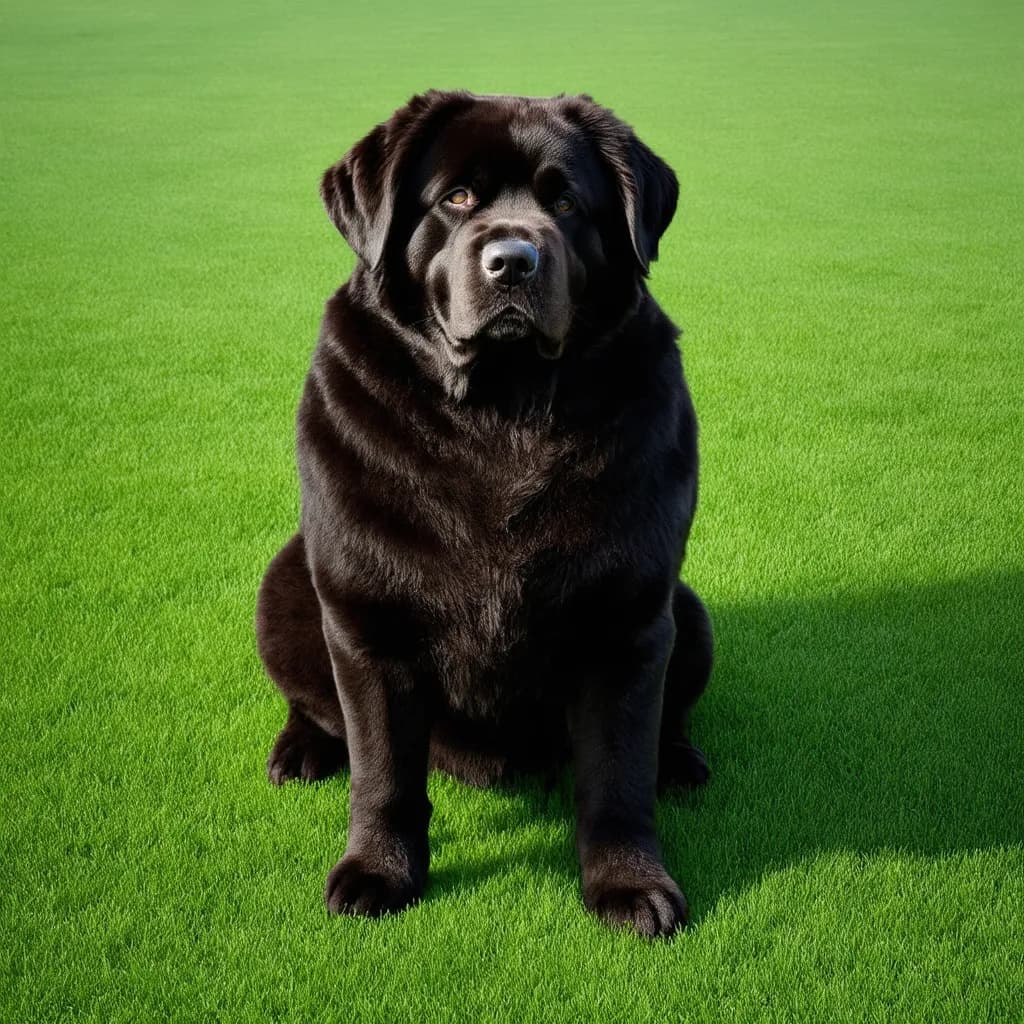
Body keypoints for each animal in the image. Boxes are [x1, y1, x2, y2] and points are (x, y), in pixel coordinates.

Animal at [253, 92, 712, 937]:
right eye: (458, 198)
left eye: (565, 202)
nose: (513, 259)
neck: (502, 413)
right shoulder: (370, 621)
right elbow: (383, 772)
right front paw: (377, 872)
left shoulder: (629, 618)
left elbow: (618, 775)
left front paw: (631, 886)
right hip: (287, 582)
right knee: (318, 707)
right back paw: (301, 750)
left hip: (687, 613)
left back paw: (681, 762)